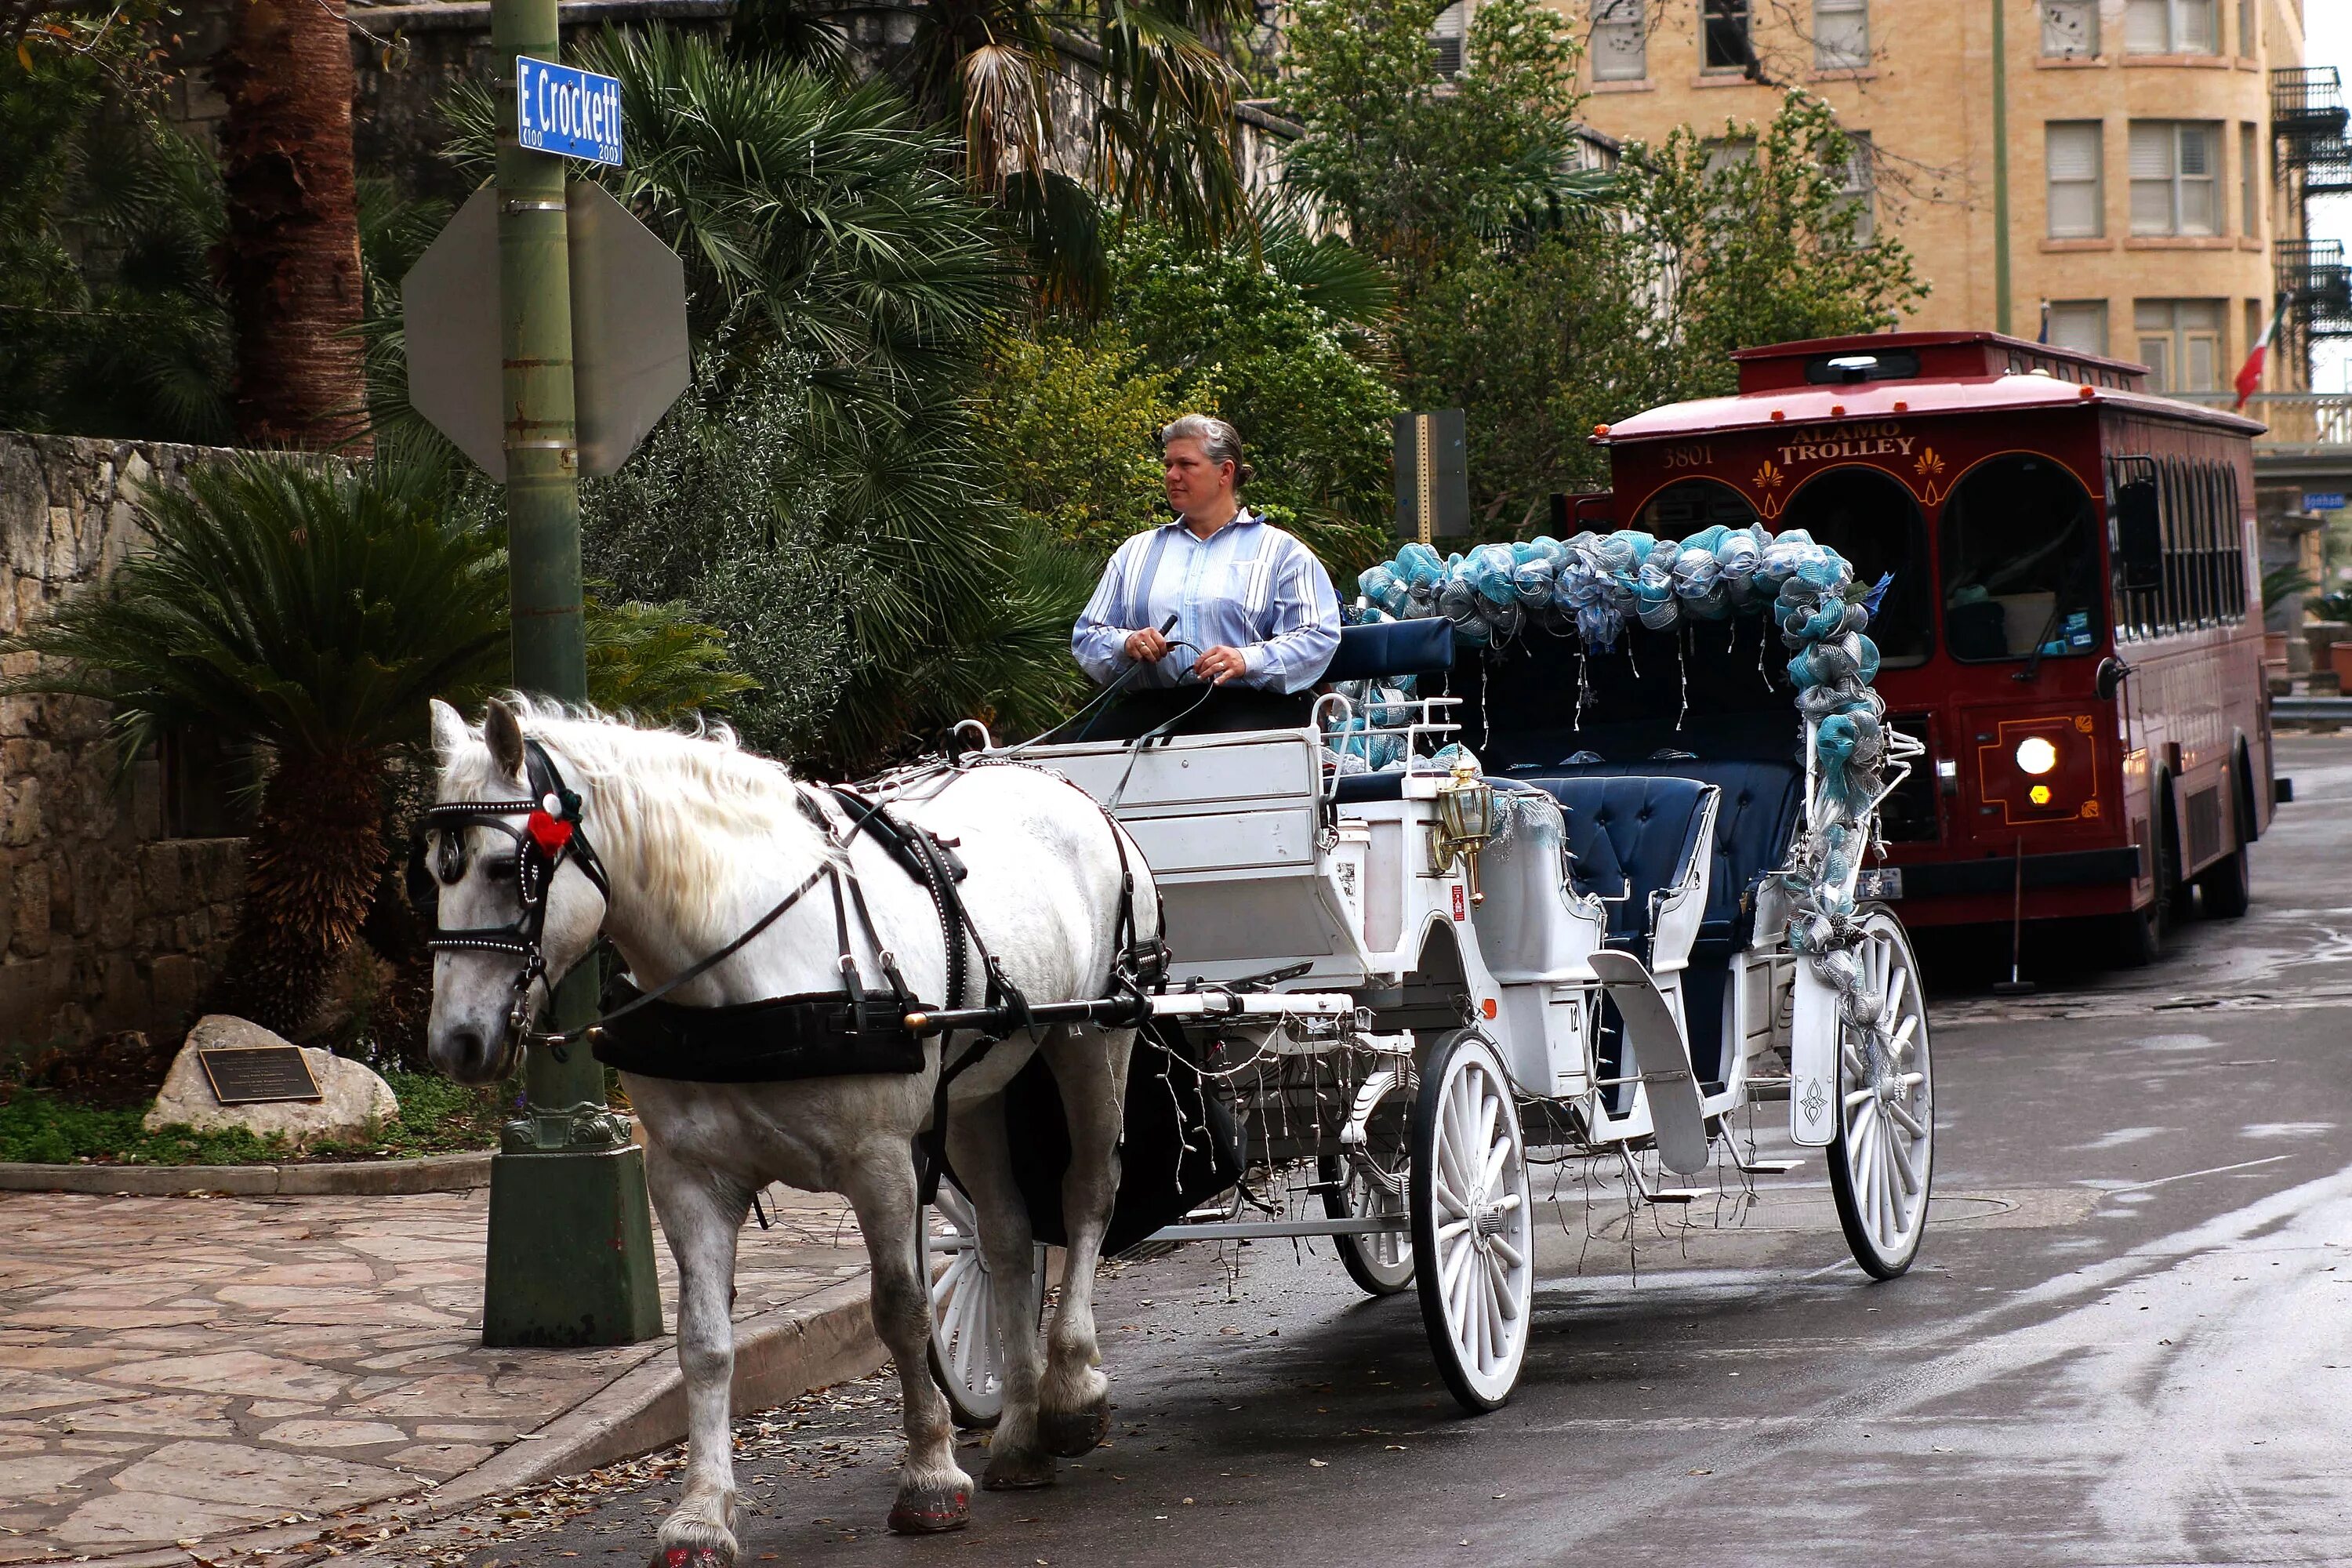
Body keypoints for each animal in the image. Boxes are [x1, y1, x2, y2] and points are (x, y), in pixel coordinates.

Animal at [423, 705, 1157, 1561]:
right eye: (433, 872)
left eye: (502, 868)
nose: (455, 1043)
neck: (746, 962)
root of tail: (1067, 788)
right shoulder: (687, 1176)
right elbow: (704, 1344)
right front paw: (702, 1511)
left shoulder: (881, 1161)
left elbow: (900, 1309)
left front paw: (930, 1474)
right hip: (979, 1083)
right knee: (1006, 1236)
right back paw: (1019, 1434)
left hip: (1094, 1036)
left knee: (1087, 1194)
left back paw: (1072, 1387)